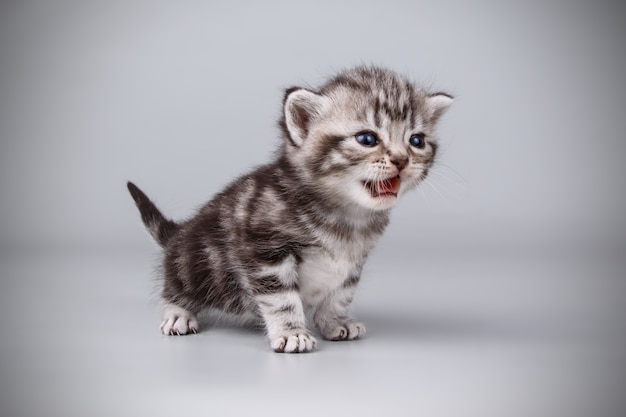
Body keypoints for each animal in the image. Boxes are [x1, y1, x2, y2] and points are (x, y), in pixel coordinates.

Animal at [127, 66, 450, 352]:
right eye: (367, 139)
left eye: (416, 141)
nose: (401, 159)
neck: (345, 216)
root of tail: (179, 233)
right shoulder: (265, 251)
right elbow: (281, 299)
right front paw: (292, 333)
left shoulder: (355, 260)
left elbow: (342, 292)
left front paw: (335, 321)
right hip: (194, 263)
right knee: (174, 287)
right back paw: (177, 314)